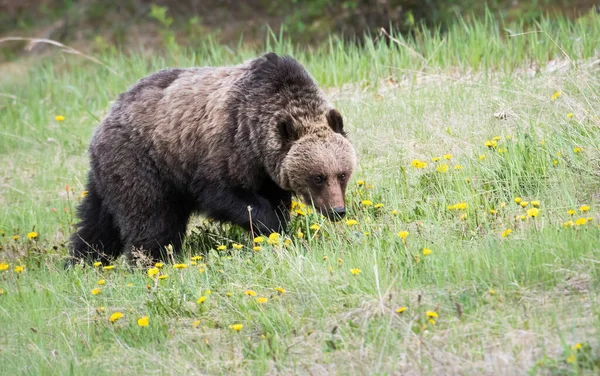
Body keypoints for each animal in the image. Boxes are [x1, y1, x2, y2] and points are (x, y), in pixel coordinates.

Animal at [69, 52, 356, 264]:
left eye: (342, 174)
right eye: (318, 177)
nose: (337, 210)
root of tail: (107, 116)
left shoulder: (268, 171)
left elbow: (276, 200)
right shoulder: (225, 148)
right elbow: (226, 195)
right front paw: (273, 228)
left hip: (110, 173)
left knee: (97, 222)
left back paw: (82, 260)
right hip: (143, 164)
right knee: (150, 218)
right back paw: (153, 261)